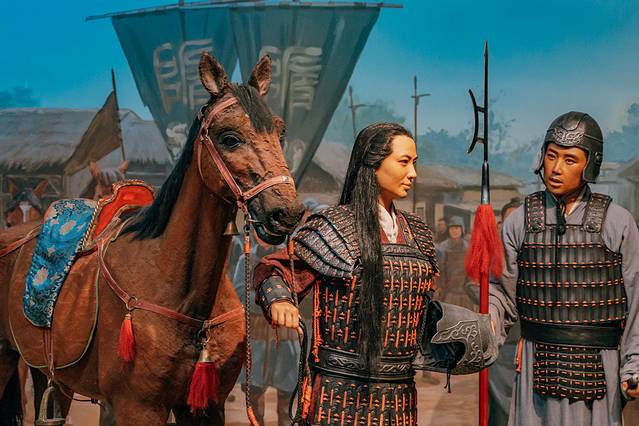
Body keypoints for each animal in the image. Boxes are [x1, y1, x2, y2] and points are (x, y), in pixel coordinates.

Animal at [0, 51, 304, 425]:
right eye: (229, 137)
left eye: (280, 132)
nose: (286, 212)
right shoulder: (136, 406)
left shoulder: (205, 405)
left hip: (49, 373)